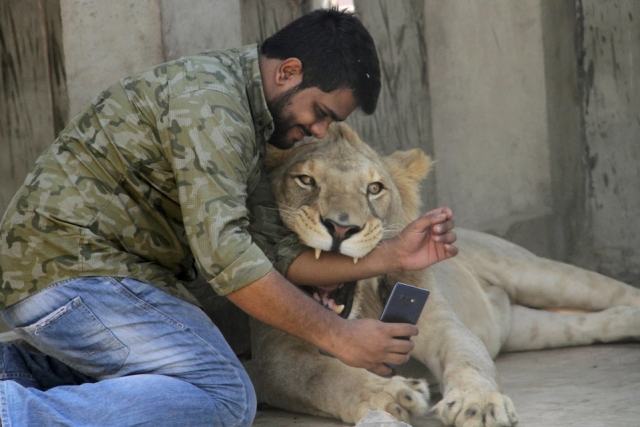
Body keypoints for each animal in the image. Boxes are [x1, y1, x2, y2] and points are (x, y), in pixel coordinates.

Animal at [244, 122, 640, 426]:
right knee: (597, 322)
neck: (361, 311)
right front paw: (393, 396)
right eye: (305, 180)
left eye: (374, 188)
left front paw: (479, 404)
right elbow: (323, 376)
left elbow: (468, 357)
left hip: (540, 275)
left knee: (615, 293)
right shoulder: (272, 359)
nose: (342, 228)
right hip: (532, 330)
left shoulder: (439, 324)